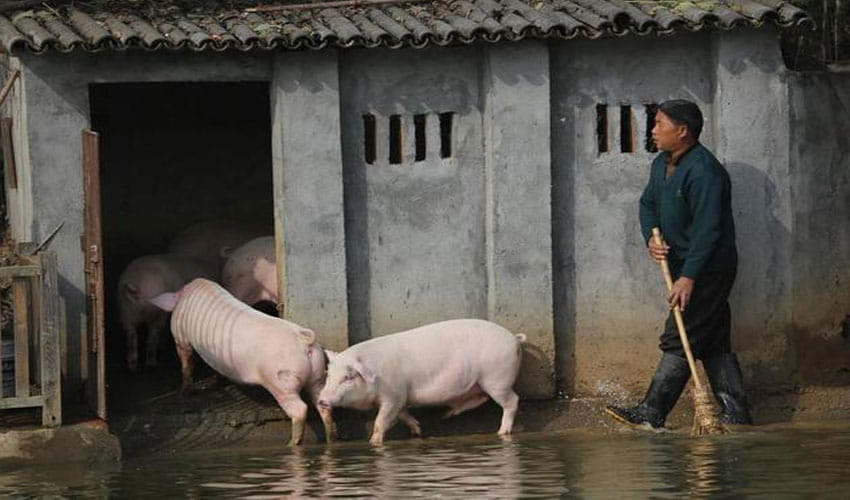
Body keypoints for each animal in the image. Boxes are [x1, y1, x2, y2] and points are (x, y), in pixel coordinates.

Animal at [149, 278, 334, 446]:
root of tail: (304, 340)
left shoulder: (181, 336)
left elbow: (187, 363)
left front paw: (184, 392)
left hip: (282, 383)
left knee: (299, 409)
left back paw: (291, 444)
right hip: (318, 375)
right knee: (323, 403)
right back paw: (331, 439)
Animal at [318, 319, 526, 445]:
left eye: (348, 377)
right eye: (328, 374)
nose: (322, 400)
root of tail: (513, 338)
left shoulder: (394, 394)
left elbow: (381, 420)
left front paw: (373, 442)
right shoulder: (401, 397)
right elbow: (403, 414)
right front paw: (417, 431)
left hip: (497, 379)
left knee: (512, 401)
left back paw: (502, 433)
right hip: (483, 382)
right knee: (481, 398)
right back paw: (447, 414)